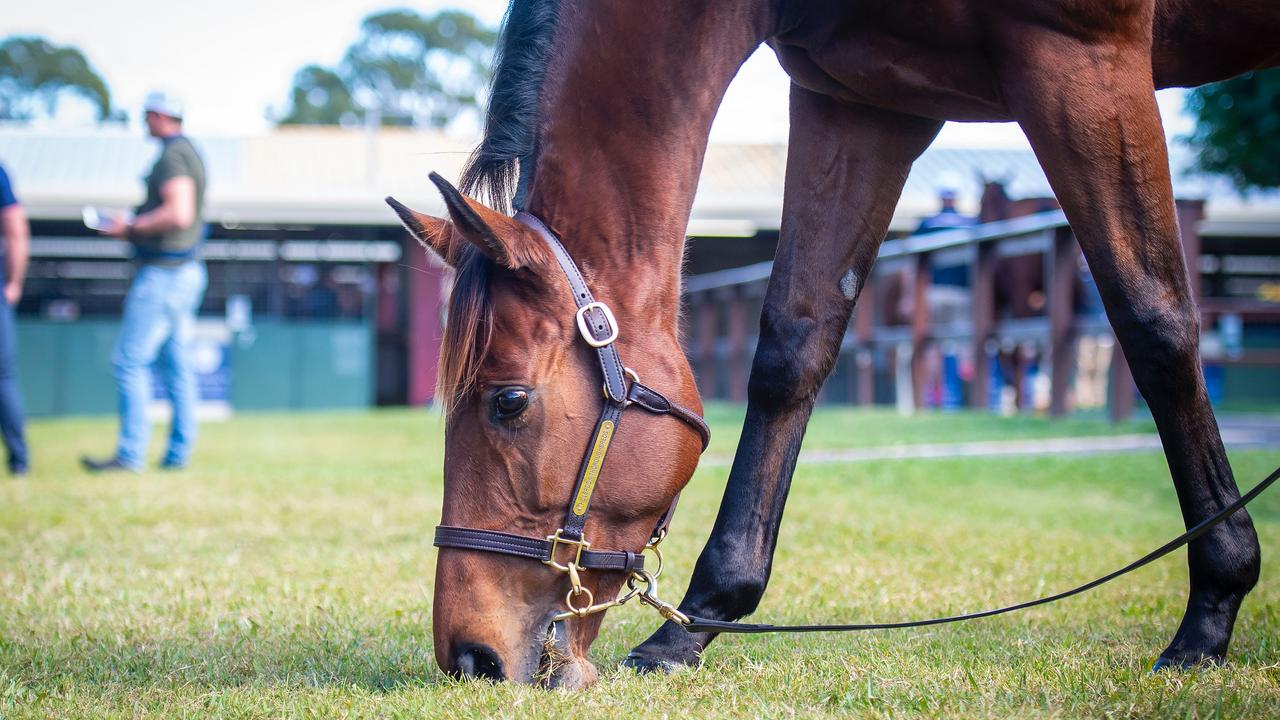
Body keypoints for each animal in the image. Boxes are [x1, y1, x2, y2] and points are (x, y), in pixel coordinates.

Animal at [389, 0, 1280, 686]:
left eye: (509, 402)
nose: (468, 656)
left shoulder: (1086, 60)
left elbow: (1153, 320)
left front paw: (1212, 611)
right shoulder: (860, 97)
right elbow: (795, 346)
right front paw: (694, 625)